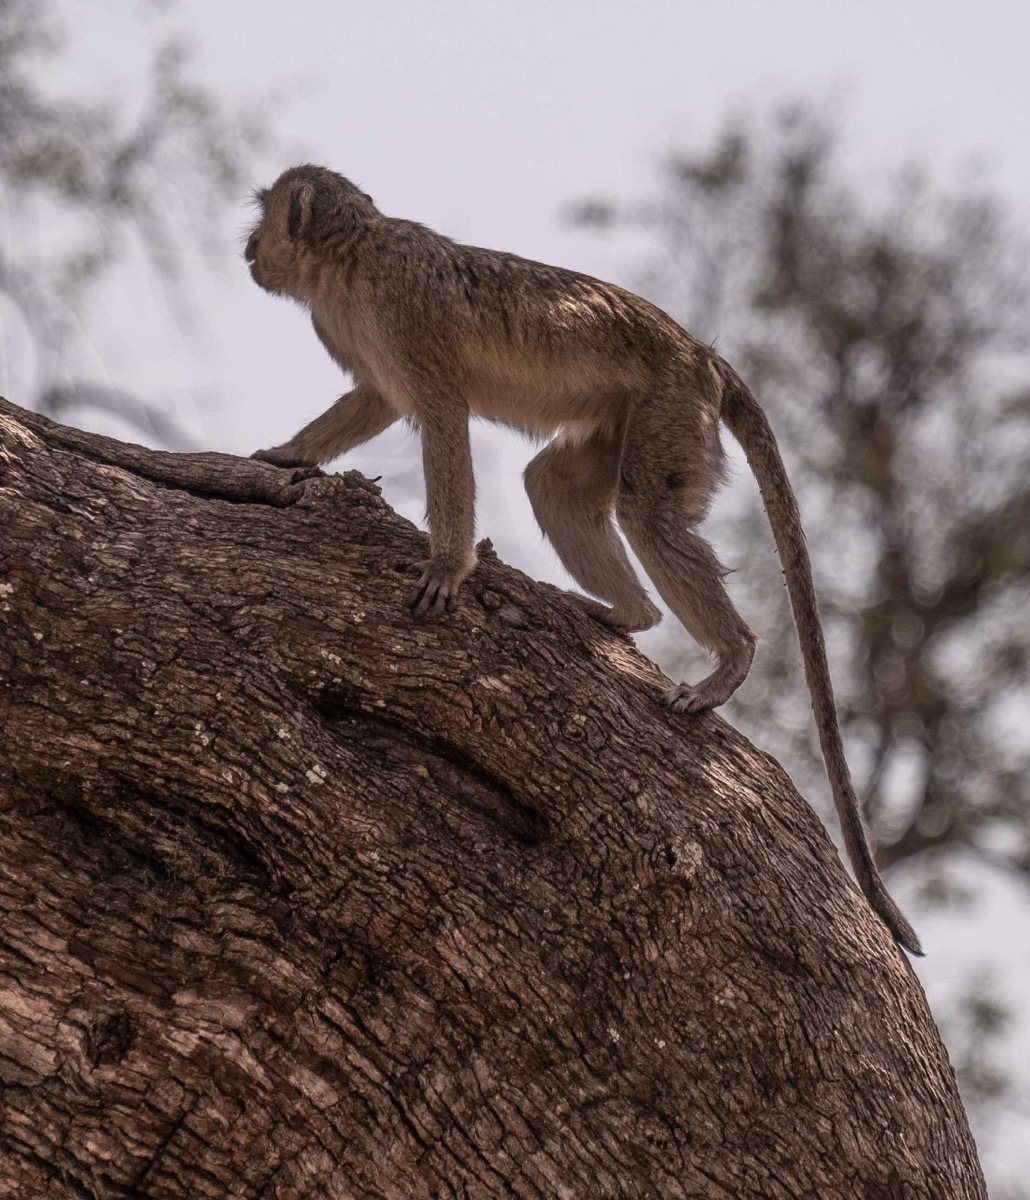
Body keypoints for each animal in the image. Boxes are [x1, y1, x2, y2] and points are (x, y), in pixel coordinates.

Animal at [244, 166, 917, 955]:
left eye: (264, 217)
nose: (250, 247)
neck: (352, 258)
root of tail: (702, 354)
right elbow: (377, 400)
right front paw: (285, 458)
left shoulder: (402, 307)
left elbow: (441, 416)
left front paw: (448, 567)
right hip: (625, 417)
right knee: (558, 488)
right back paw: (628, 613)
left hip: (669, 408)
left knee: (648, 513)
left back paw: (730, 661)